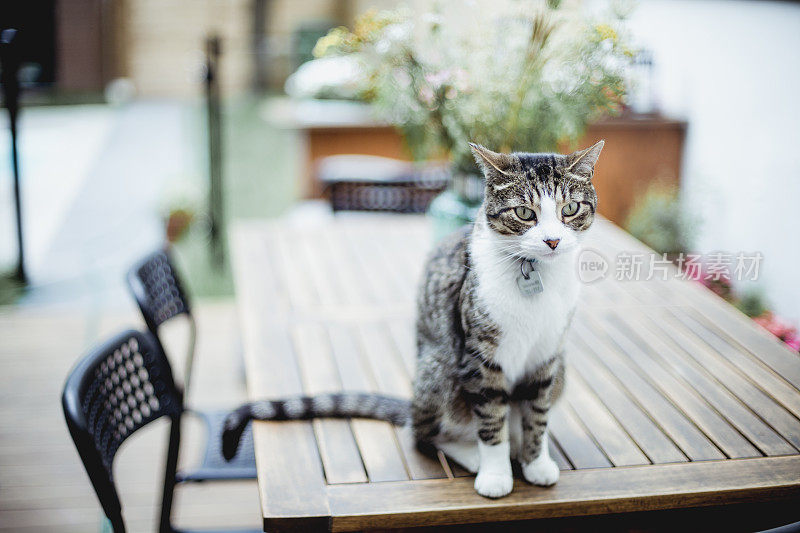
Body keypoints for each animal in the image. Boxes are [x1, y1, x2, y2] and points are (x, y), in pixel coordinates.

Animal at [222, 139, 604, 496]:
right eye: (524, 212)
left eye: (570, 208)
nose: (552, 241)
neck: (537, 278)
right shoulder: (478, 356)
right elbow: (491, 419)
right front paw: (495, 474)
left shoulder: (547, 354)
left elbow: (536, 415)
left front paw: (536, 461)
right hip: (440, 368)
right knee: (424, 435)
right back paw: (472, 455)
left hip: (561, 371)